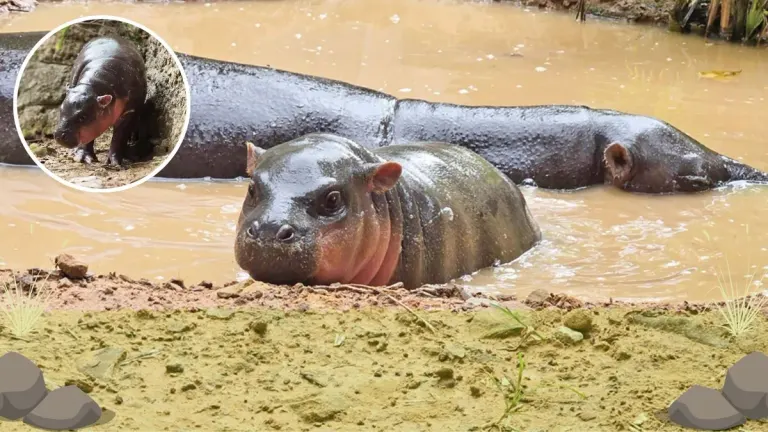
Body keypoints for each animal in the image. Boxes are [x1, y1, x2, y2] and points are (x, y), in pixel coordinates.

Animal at [52, 36, 147, 167]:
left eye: (83, 116)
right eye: (60, 109)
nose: (59, 136)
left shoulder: (130, 111)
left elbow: (119, 137)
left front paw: (115, 163)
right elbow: (87, 138)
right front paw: (84, 159)